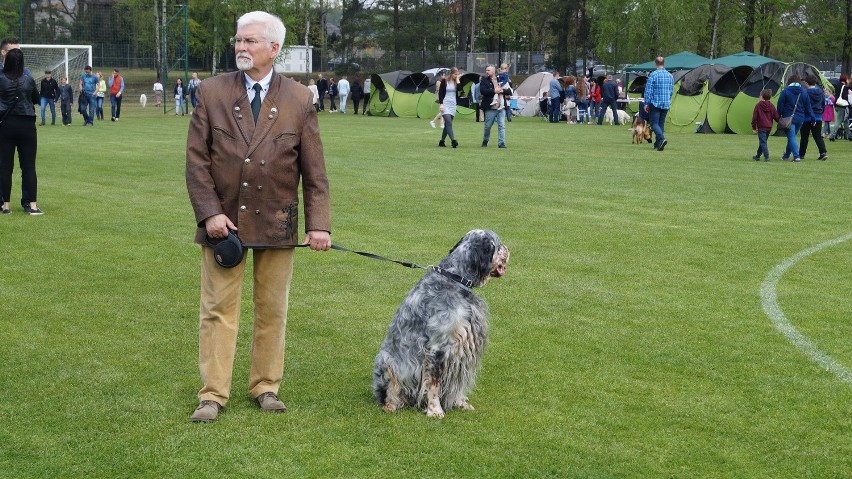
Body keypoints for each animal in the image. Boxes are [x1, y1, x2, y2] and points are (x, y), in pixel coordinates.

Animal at [372, 231, 506, 418]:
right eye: (499, 245)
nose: (508, 248)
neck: (455, 278)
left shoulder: (463, 346)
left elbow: (458, 381)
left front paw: (461, 402)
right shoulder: (438, 348)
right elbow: (433, 383)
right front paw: (435, 410)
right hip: (387, 361)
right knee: (389, 394)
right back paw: (391, 405)